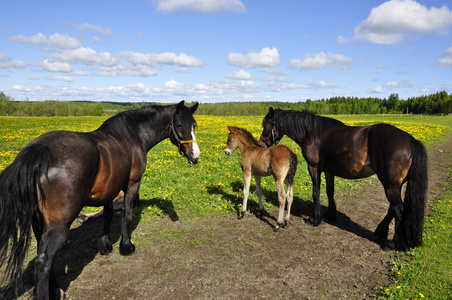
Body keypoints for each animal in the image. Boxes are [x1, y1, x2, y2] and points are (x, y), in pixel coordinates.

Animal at [0, 101, 200, 300]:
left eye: (194, 125)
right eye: (179, 125)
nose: (195, 156)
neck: (131, 135)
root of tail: (38, 152)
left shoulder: (110, 190)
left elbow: (108, 216)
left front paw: (105, 245)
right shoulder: (132, 185)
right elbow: (126, 216)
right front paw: (126, 246)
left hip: (38, 223)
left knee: (42, 255)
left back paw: (56, 289)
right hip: (59, 227)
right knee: (44, 262)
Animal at [260, 108, 430, 251]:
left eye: (266, 124)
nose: (261, 144)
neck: (313, 133)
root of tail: (411, 140)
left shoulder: (314, 168)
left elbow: (316, 192)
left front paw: (315, 219)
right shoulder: (328, 171)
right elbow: (330, 191)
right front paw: (330, 214)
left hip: (390, 185)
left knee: (399, 209)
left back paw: (393, 243)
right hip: (395, 184)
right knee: (392, 209)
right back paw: (380, 231)